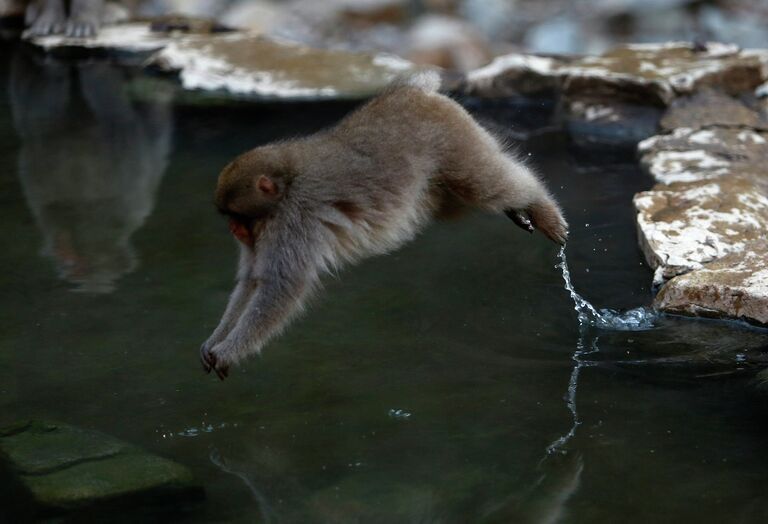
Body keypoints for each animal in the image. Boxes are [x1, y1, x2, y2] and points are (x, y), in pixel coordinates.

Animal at [201, 72, 568, 376]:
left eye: (237, 216)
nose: (234, 230)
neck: (285, 187)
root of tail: (416, 92)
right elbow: (252, 279)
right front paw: (215, 340)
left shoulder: (294, 220)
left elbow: (279, 287)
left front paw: (228, 351)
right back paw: (518, 210)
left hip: (455, 140)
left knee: (485, 184)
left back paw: (540, 204)